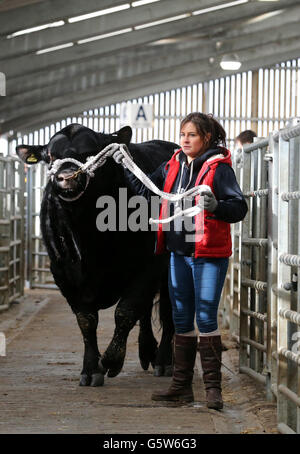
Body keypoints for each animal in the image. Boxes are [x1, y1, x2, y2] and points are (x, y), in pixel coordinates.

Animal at [16, 122, 177, 384]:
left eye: (90, 153)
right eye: (50, 156)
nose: (66, 177)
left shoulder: (150, 265)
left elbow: (126, 310)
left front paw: (111, 360)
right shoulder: (63, 272)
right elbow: (86, 321)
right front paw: (91, 369)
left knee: (167, 311)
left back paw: (163, 360)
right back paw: (146, 352)